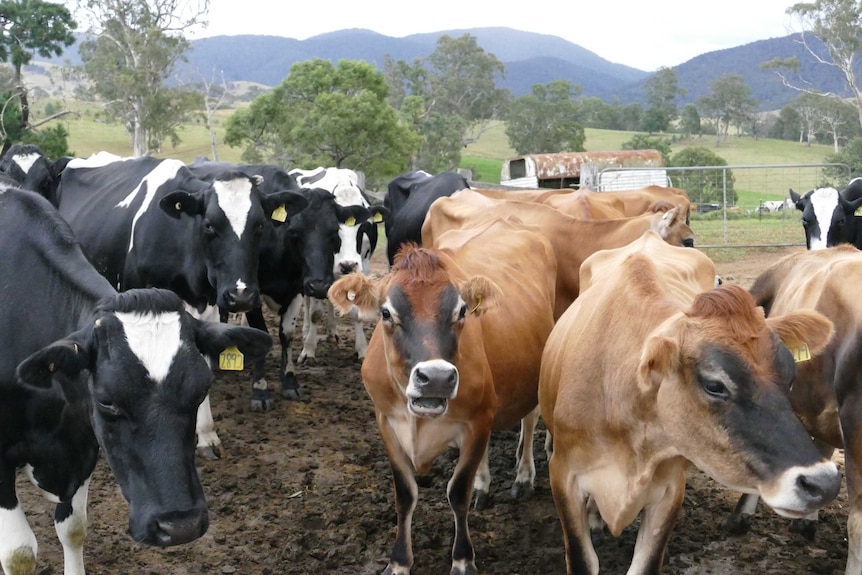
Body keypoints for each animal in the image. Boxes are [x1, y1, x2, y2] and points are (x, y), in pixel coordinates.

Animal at [0, 184, 274, 575]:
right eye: (106, 401)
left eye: (201, 390)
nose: (180, 525)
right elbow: (19, 554)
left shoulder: (82, 449)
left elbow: (73, 528)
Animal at [290, 166, 388, 364]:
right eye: (335, 230)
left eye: (365, 226)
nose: (348, 265)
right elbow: (315, 312)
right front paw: (309, 349)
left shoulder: (362, 267)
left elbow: (356, 312)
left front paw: (362, 349)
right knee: (308, 301)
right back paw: (306, 330)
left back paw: (332, 330)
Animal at [328, 217, 556, 575]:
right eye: (386, 313)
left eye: (462, 311)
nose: (435, 378)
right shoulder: (385, 422)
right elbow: (405, 494)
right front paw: (398, 562)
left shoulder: (478, 420)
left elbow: (457, 491)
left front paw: (462, 559)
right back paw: (484, 485)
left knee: (530, 419)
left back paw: (523, 478)